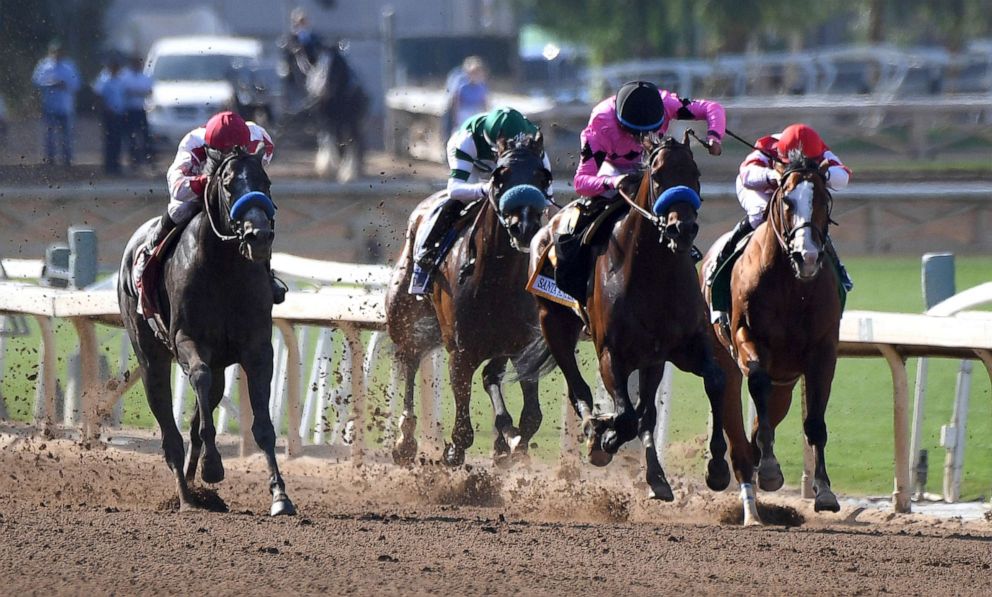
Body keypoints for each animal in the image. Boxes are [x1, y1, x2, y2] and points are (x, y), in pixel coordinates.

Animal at [117, 147, 294, 516]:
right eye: (227, 184)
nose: (258, 236)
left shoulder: (257, 348)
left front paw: (280, 495)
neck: (223, 268)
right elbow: (197, 377)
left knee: (199, 417)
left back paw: (197, 491)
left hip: (219, 368)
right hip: (150, 359)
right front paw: (213, 466)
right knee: (170, 434)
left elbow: (263, 426)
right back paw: (186, 498)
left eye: (266, 182)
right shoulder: (188, 341)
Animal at [388, 134, 556, 466]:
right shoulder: (461, 351)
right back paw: (405, 439)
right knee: (410, 359)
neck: (498, 280)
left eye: (543, 177)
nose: (524, 226)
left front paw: (513, 446)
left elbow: (531, 417)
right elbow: (463, 430)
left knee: (490, 376)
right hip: (404, 317)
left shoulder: (522, 347)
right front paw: (452, 451)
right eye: (499, 176)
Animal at [520, 134, 728, 498]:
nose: (683, 228)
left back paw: (656, 476)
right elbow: (626, 416)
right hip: (553, 323)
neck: (654, 276)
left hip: (651, 360)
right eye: (657, 176)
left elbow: (713, 382)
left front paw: (716, 468)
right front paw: (605, 437)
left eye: (696, 173)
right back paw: (594, 429)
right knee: (580, 390)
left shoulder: (683, 347)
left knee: (644, 411)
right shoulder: (611, 354)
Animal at [700, 151, 840, 524]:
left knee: (762, 419)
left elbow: (815, 421)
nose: (807, 256)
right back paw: (728, 475)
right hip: (723, 357)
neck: (793, 287)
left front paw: (824, 491)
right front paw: (770, 469)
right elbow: (757, 384)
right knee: (723, 401)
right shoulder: (747, 337)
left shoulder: (823, 352)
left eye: (823, 199)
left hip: (786, 383)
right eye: (787, 200)